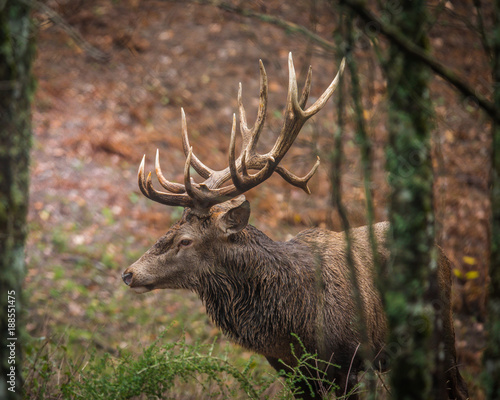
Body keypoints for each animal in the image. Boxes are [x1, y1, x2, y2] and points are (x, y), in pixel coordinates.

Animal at [122, 54, 468, 400]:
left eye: (185, 240)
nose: (128, 273)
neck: (292, 327)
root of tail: (443, 256)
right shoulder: (289, 370)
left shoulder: (349, 361)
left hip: (443, 334)